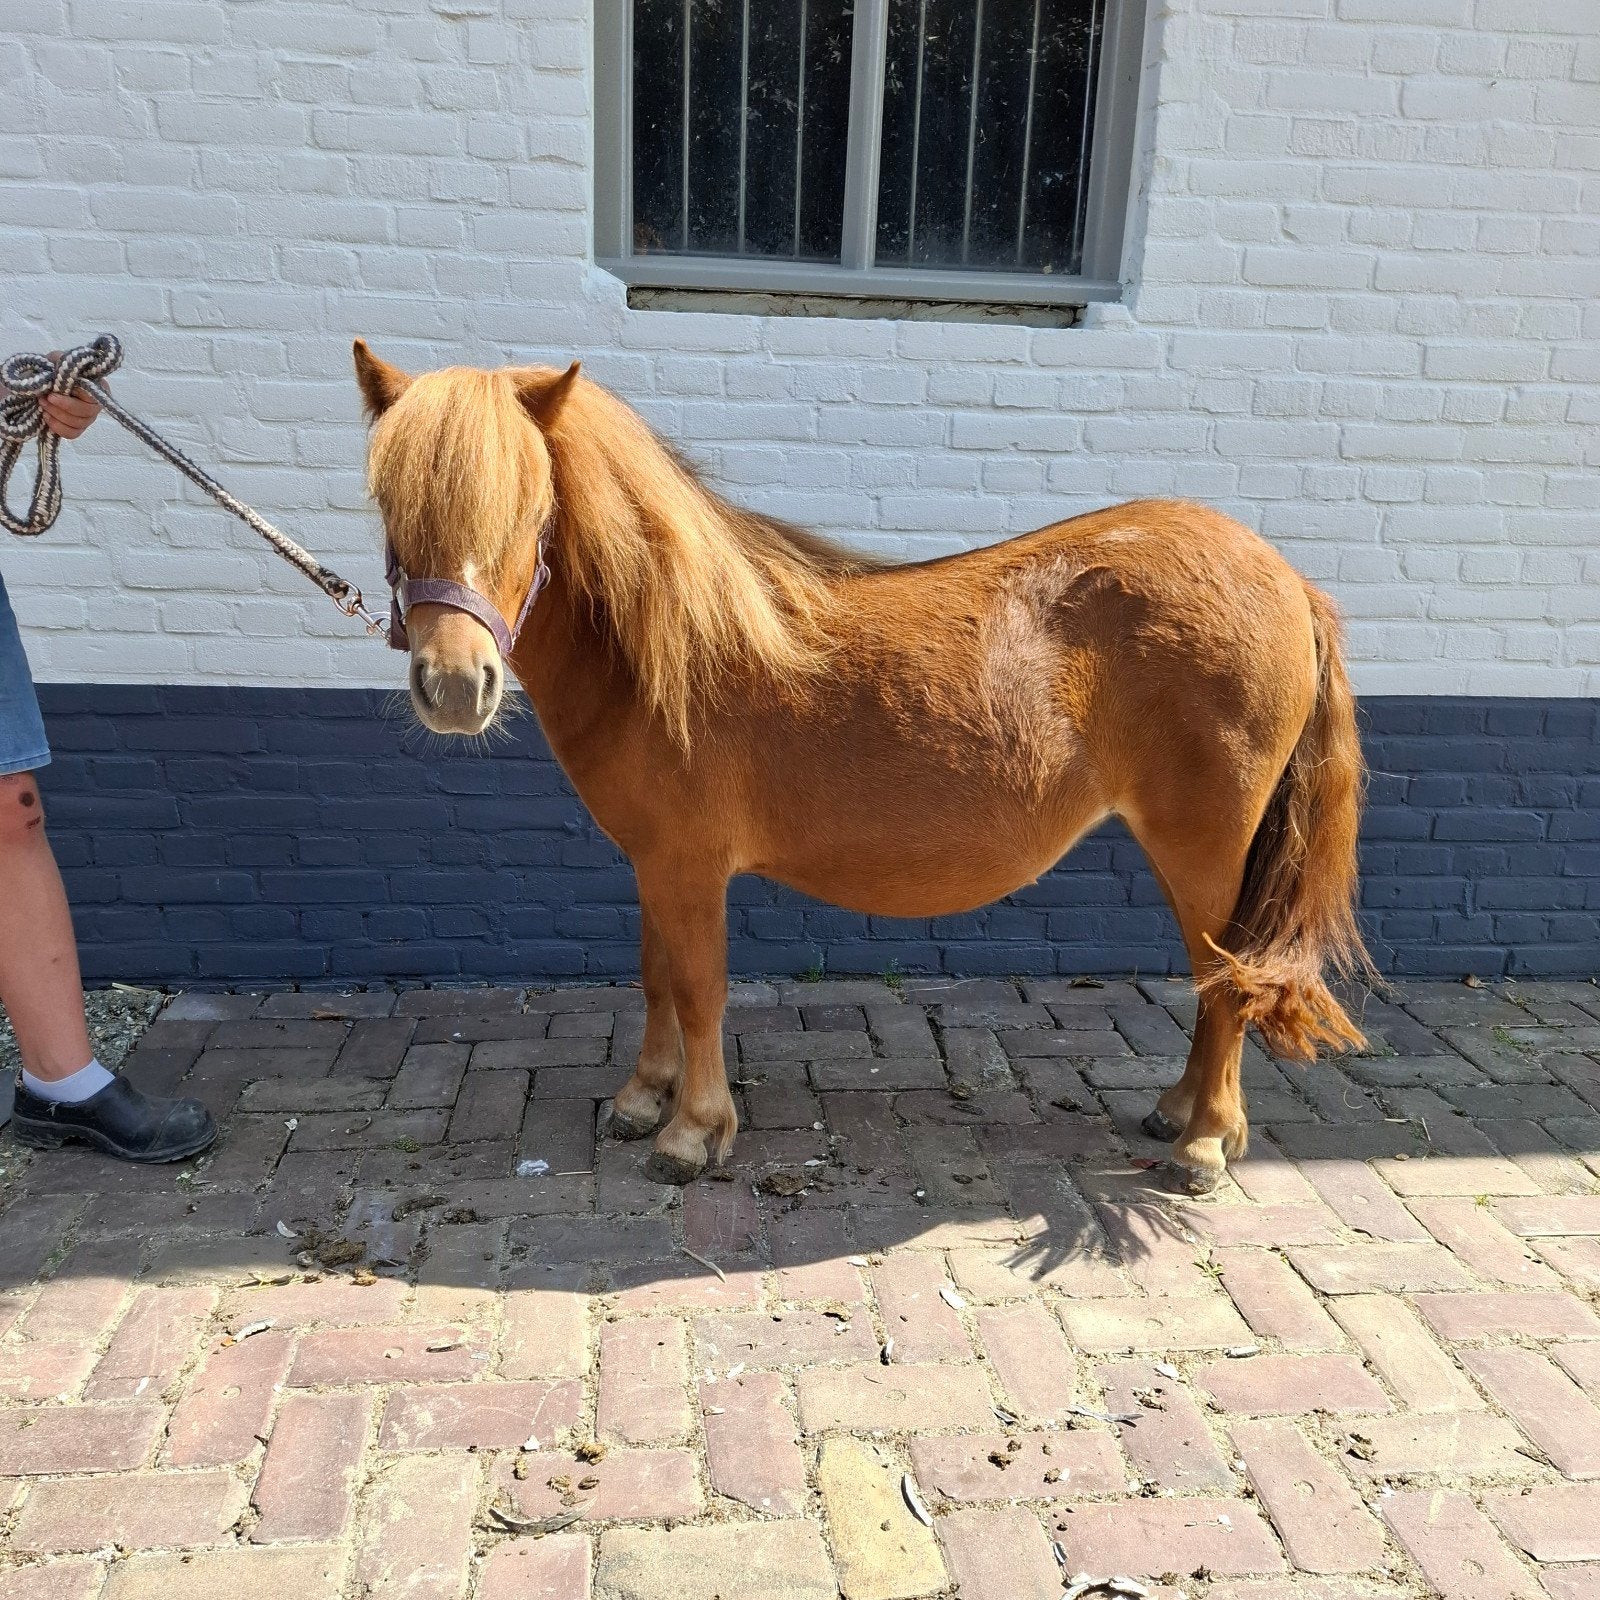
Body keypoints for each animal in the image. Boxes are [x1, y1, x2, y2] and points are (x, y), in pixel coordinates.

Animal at [351, 341, 1372, 1194]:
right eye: (389, 507)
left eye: (531, 511)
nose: (455, 686)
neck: (664, 646)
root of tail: (1287, 579)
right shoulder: (652, 860)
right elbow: (655, 976)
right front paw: (644, 1101)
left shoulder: (689, 863)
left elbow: (699, 986)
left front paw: (694, 1133)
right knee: (1215, 975)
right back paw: (1179, 1115)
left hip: (1205, 841)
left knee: (1227, 976)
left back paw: (1205, 1141)